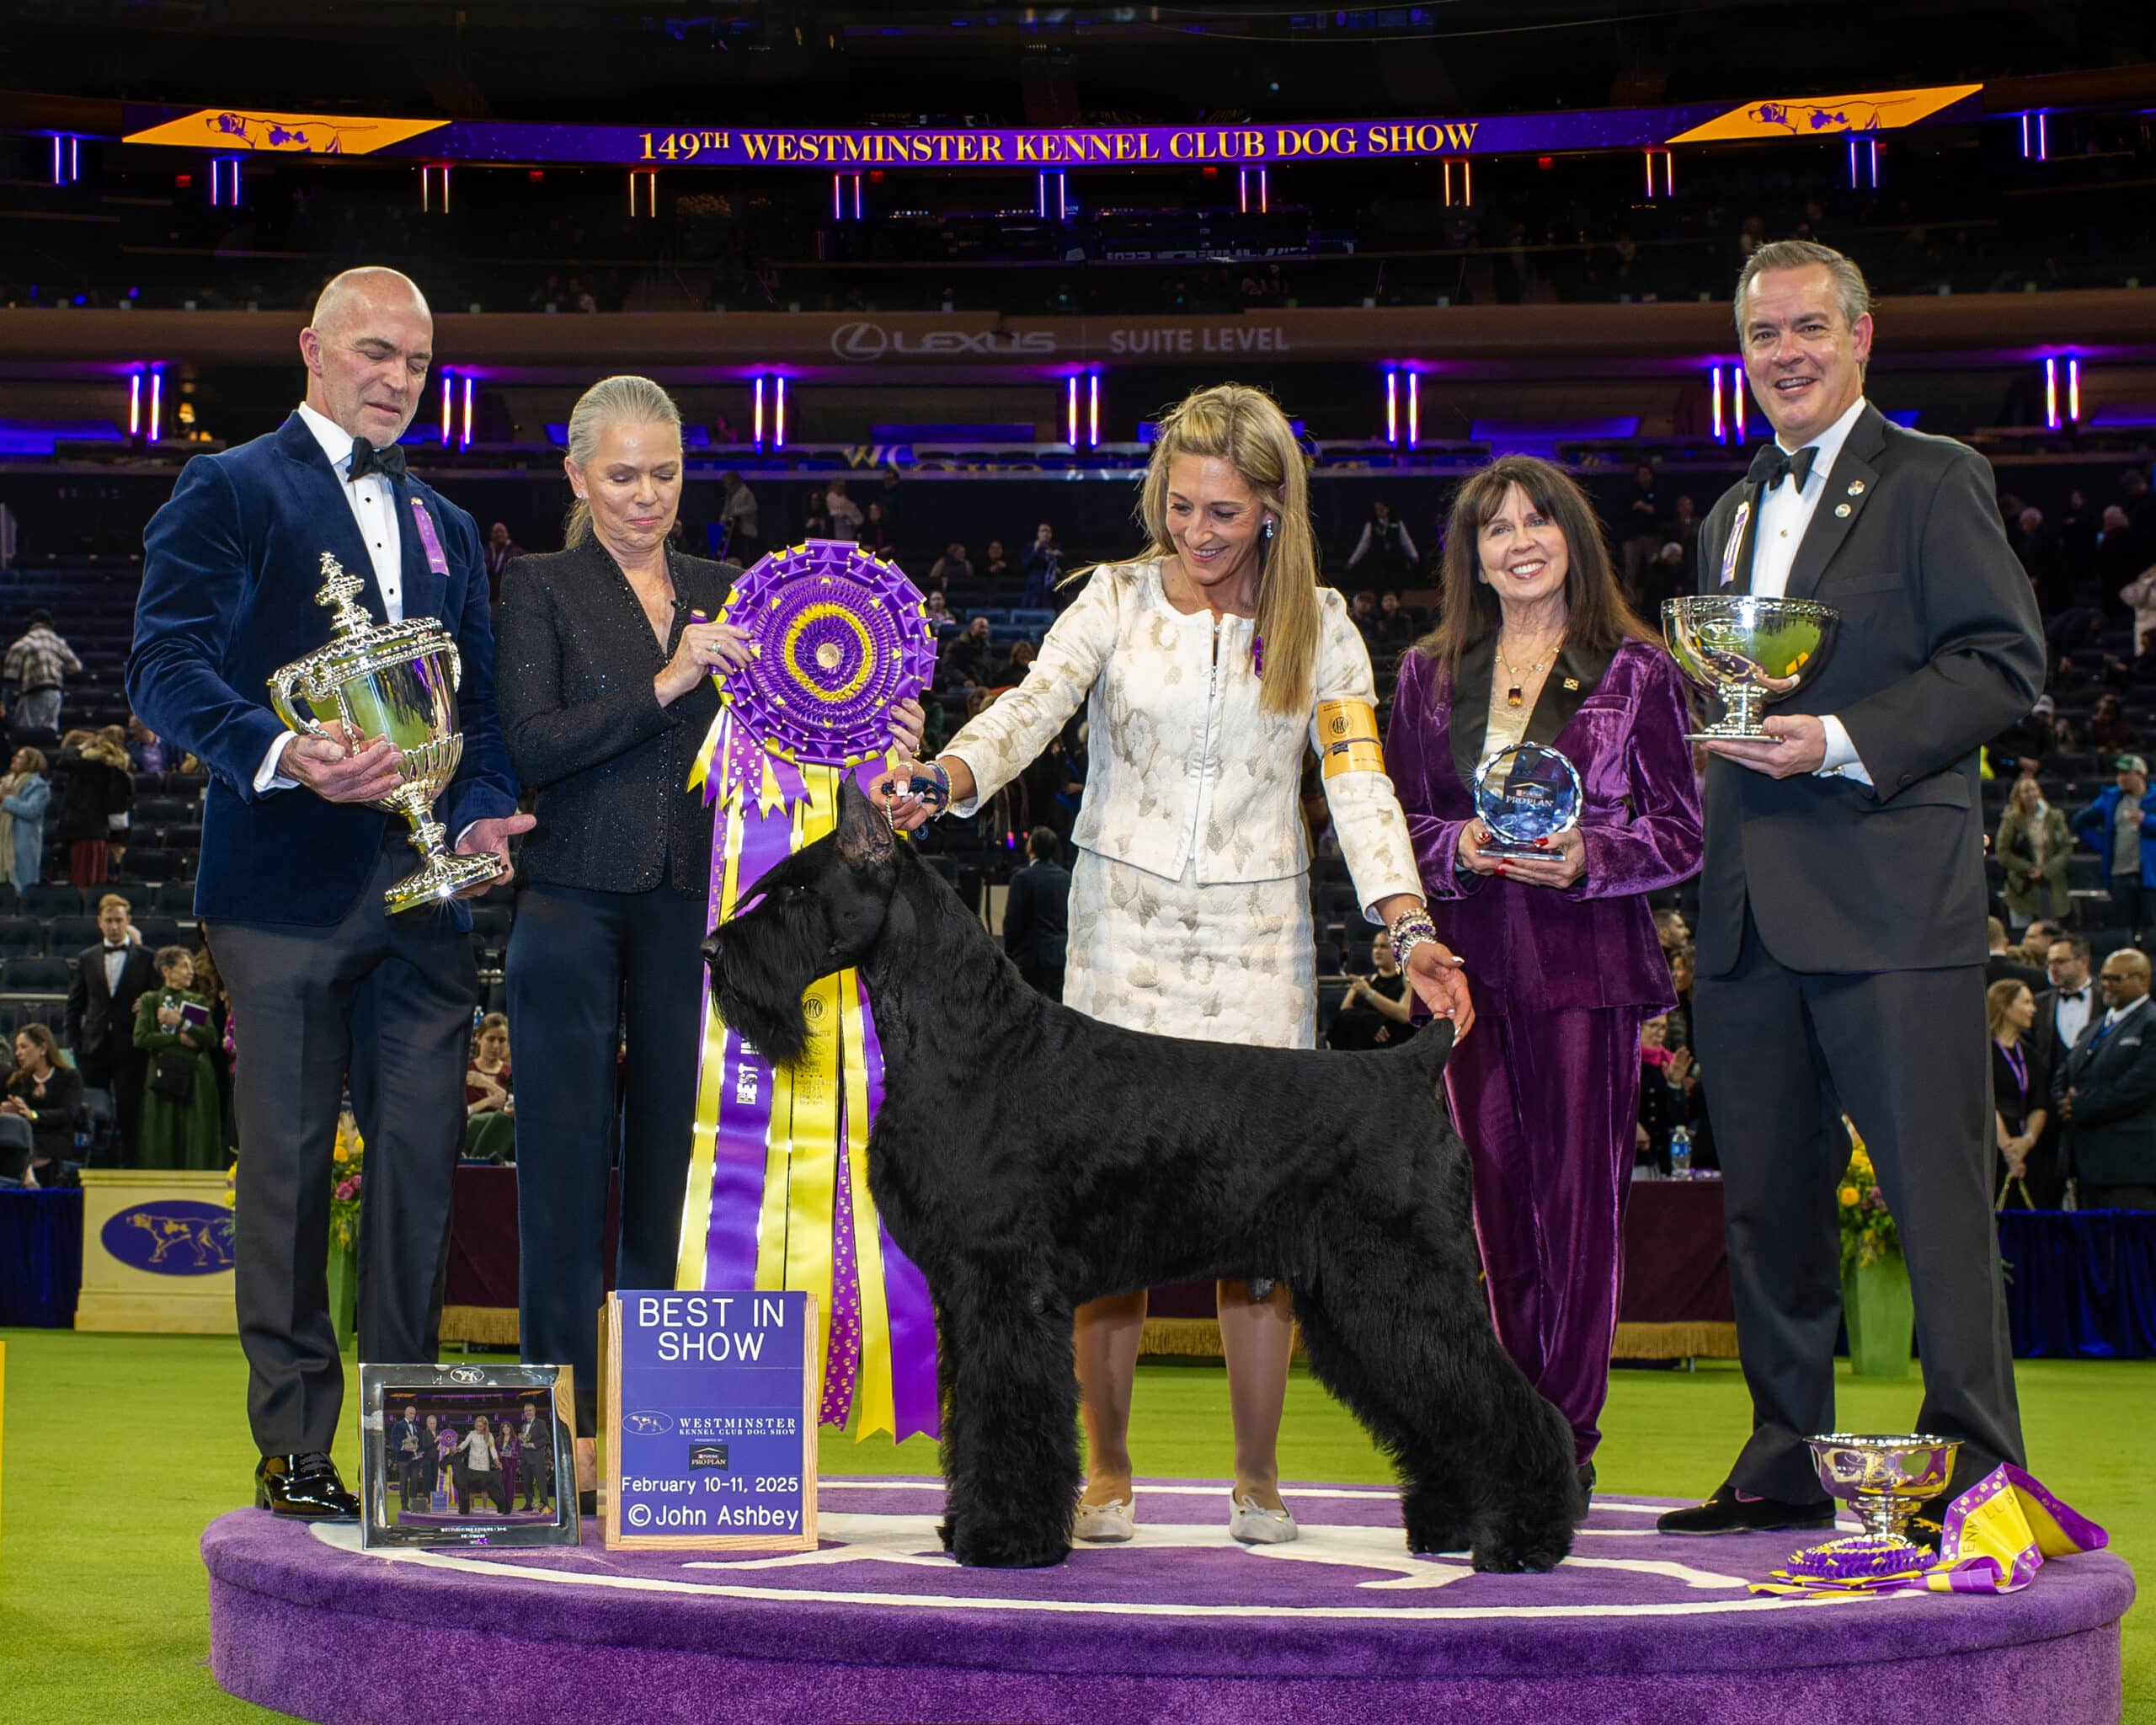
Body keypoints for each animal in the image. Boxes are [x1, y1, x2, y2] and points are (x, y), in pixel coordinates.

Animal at [715, 780, 1577, 1578]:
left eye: (796, 892)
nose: (713, 953)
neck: (968, 1036)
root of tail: (1411, 1062)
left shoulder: (1006, 1287)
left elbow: (1013, 1414)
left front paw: (1005, 1539)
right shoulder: (965, 1294)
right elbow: (975, 1422)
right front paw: (966, 1527)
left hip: (1407, 1282)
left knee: (1505, 1403)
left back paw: (1528, 1537)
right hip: (1355, 1304)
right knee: (1433, 1406)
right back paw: (1450, 1524)